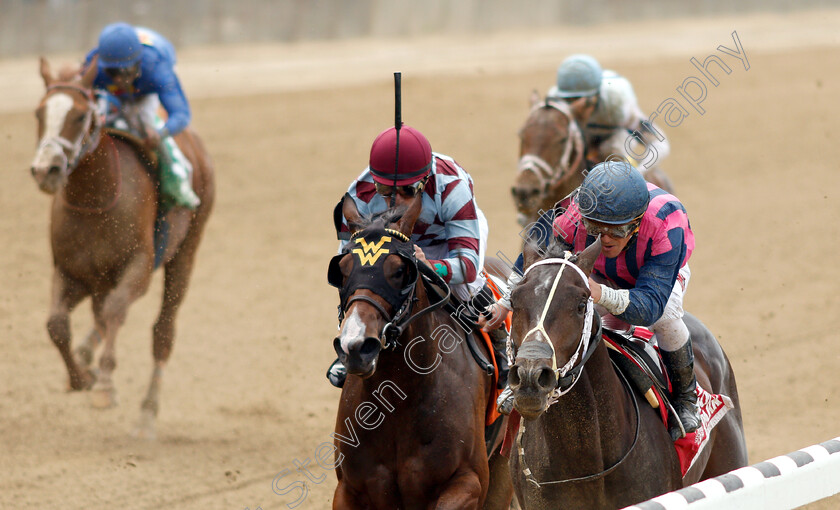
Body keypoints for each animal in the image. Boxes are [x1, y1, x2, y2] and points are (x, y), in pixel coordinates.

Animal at [31, 56, 217, 438]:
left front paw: (104, 386)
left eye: (80, 116)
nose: (46, 170)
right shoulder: (69, 271)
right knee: (98, 316)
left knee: (162, 331)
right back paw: (86, 355)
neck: (94, 197)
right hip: (97, 279)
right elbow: (56, 324)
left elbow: (116, 310)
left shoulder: (138, 268)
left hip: (186, 250)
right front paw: (80, 377)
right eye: (39, 113)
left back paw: (147, 412)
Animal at [326, 193, 512, 508]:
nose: (356, 346)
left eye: (400, 270)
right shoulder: (348, 489)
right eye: (342, 270)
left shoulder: (469, 482)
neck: (398, 403)